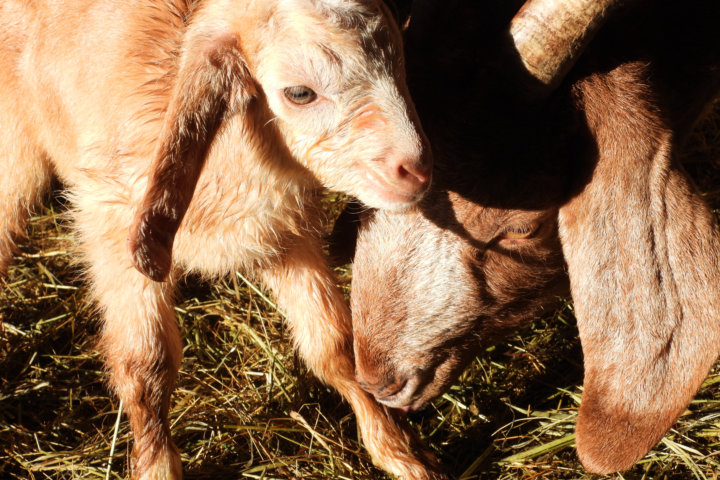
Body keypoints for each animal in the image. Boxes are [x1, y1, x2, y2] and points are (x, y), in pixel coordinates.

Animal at [0, 0, 443, 478]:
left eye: (397, 58)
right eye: (299, 93)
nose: (418, 171)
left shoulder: (284, 235)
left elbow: (334, 346)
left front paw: (399, 451)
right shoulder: (114, 231)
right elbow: (146, 366)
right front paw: (157, 466)